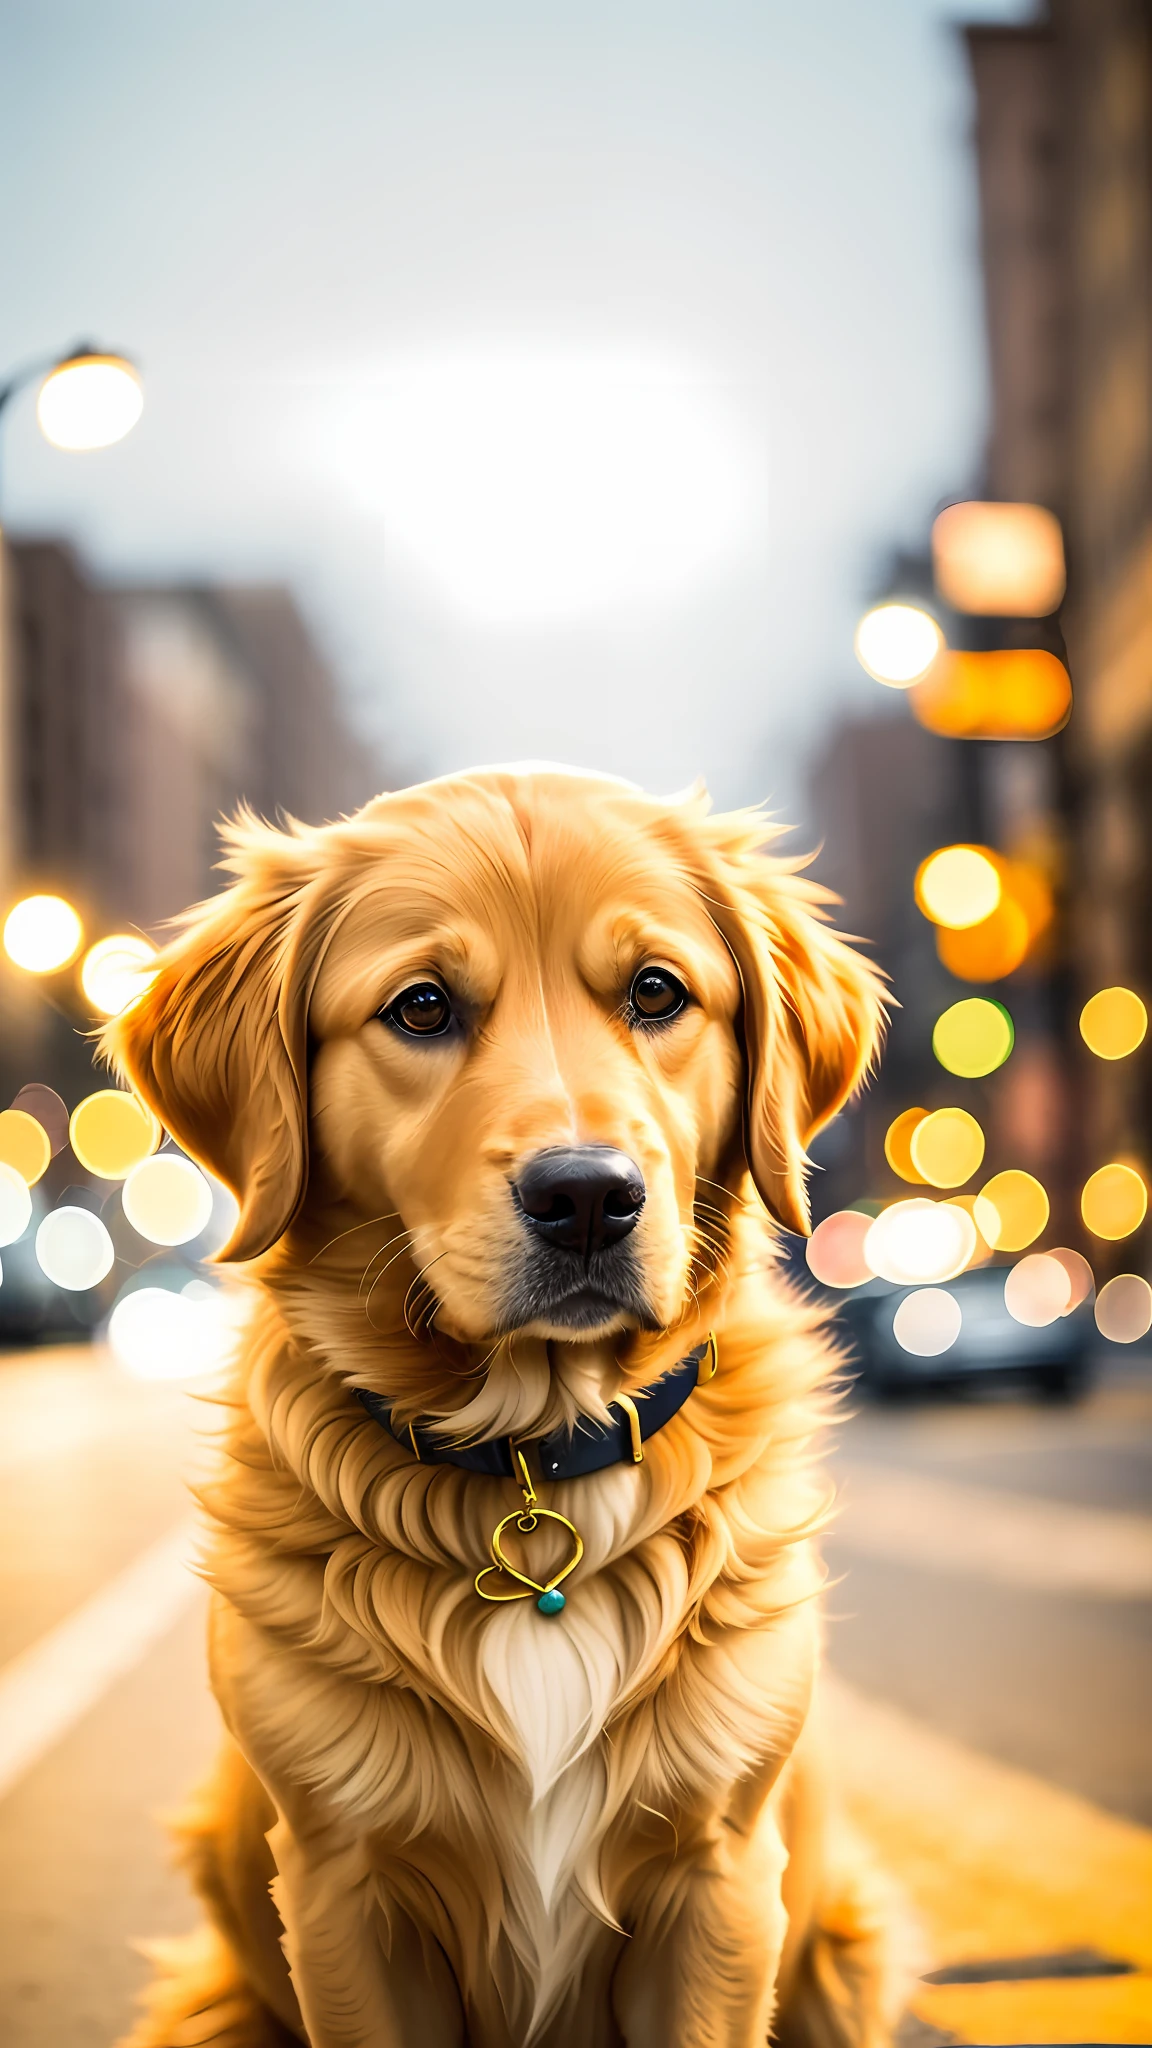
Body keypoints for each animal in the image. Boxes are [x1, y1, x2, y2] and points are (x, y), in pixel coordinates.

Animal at [107, 770, 897, 2048]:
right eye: (422, 1006)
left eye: (656, 990)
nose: (586, 1197)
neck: (533, 1463)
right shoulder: (345, 1889)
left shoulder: (718, 1880)